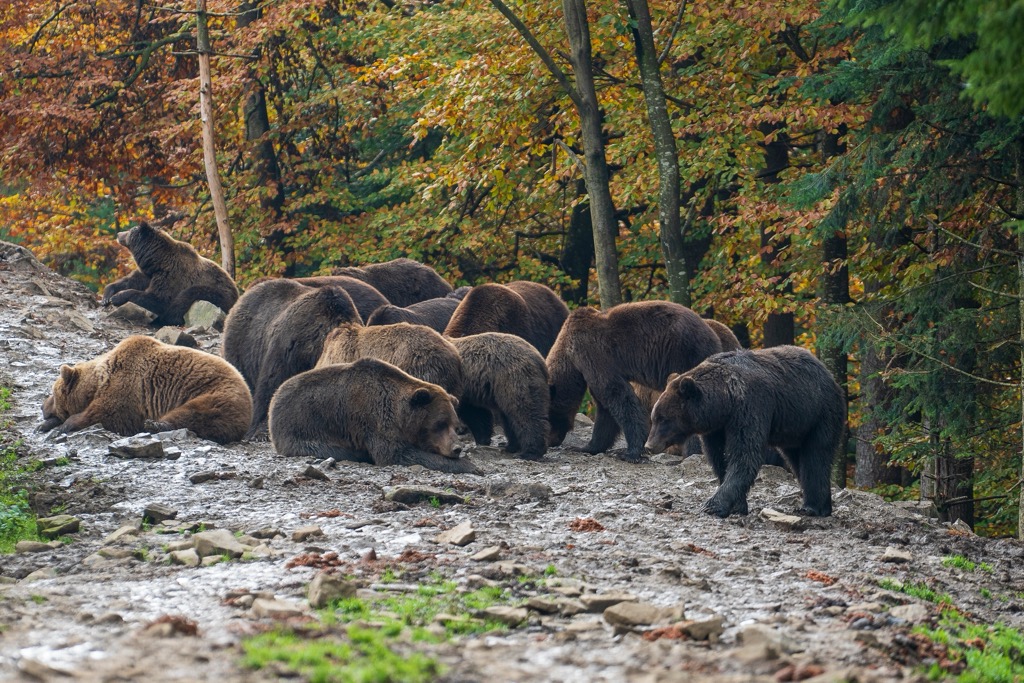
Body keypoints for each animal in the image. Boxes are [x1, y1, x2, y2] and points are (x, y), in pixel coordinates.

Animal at [39, 335, 251, 444]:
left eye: (53, 393)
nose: (42, 406)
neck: (100, 380)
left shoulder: (128, 385)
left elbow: (109, 413)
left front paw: (64, 425)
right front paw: (45, 425)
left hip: (214, 392)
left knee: (194, 413)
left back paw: (154, 425)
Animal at [100, 221, 239, 326]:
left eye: (130, 230)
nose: (119, 234)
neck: (158, 260)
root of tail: (235, 291)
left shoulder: (171, 275)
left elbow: (159, 299)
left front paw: (117, 297)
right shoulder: (150, 272)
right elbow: (132, 280)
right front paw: (107, 295)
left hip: (219, 294)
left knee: (187, 297)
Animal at [268, 357, 482, 474]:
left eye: (454, 424)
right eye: (439, 424)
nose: (457, 448)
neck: (401, 416)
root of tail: (275, 397)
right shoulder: (376, 418)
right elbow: (395, 453)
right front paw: (471, 466)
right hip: (303, 426)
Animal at [547, 301, 722, 462]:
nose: (551, 442)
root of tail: (714, 337)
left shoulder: (594, 355)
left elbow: (619, 397)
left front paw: (630, 453)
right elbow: (605, 410)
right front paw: (586, 447)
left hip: (684, 353)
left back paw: (692, 453)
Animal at [646, 345, 844, 517]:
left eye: (663, 419)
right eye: (654, 417)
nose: (649, 445)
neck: (724, 401)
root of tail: (829, 375)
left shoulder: (750, 406)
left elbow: (745, 454)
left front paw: (713, 505)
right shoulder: (716, 427)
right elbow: (719, 457)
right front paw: (737, 505)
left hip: (819, 415)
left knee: (816, 456)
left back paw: (813, 507)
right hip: (795, 427)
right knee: (796, 458)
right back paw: (821, 506)